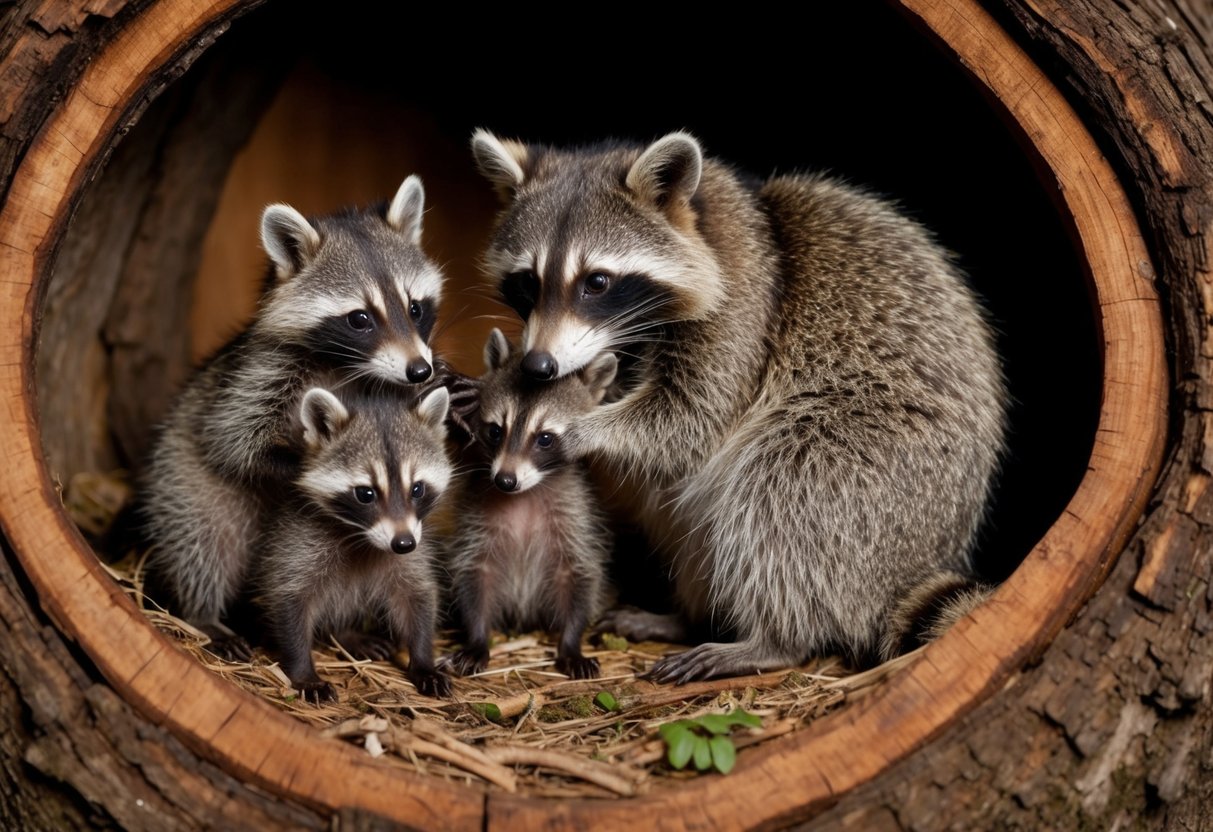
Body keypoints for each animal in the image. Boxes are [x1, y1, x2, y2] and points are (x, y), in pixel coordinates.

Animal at [137, 175, 445, 655]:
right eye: (360, 318)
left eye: (415, 308)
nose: (420, 369)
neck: (346, 366)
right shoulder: (256, 378)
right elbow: (233, 442)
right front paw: (298, 468)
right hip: (184, 483)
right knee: (203, 541)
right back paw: (202, 613)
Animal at [252, 383, 454, 702]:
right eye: (366, 494)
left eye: (417, 489)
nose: (404, 543)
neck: (363, 537)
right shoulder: (298, 543)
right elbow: (290, 599)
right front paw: (302, 671)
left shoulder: (412, 550)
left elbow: (418, 595)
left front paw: (423, 659)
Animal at [442, 329, 617, 680]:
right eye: (496, 431)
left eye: (545, 438)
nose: (505, 481)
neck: (525, 494)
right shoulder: (477, 519)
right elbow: (475, 572)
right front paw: (477, 638)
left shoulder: (575, 515)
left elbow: (580, 574)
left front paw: (571, 642)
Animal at [471, 130, 1008, 682]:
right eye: (528, 282)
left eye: (596, 282)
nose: (538, 364)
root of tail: (922, 559)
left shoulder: (746, 309)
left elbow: (689, 423)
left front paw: (582, 426)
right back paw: (688, 615)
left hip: (877, 462)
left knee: (782, 489)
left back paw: (774, 639)